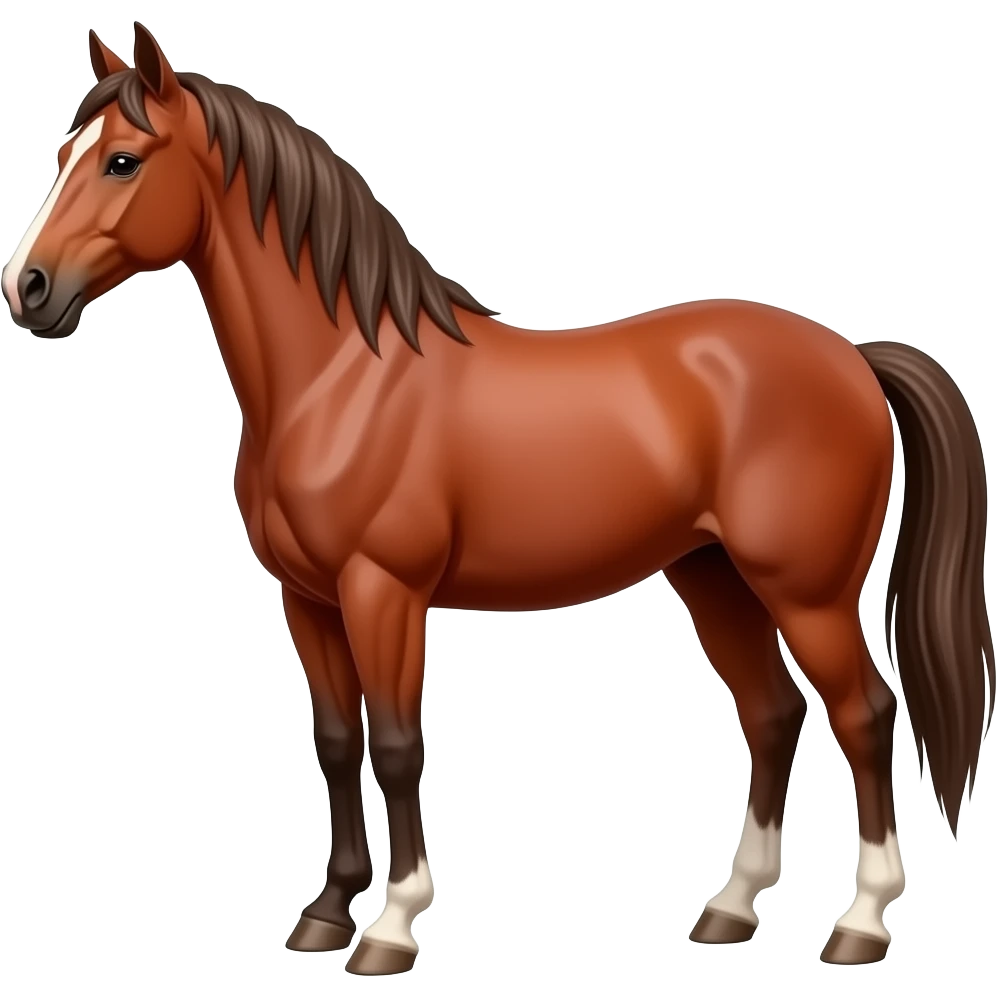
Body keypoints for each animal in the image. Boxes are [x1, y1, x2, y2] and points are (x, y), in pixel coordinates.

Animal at [3, 22, 992, 974]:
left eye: (122, 159)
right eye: (63, 154)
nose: (28, 288)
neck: (341, 378)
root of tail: (851, 355)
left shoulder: (383, 591)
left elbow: (397, 744)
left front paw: (392, 925)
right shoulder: (308, 599)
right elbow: (336, 741)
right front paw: (326, 911)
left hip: (804, 592)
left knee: (863, 714)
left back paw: (859, 922)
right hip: (712, 577)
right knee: (771, 713)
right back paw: (729, 906)